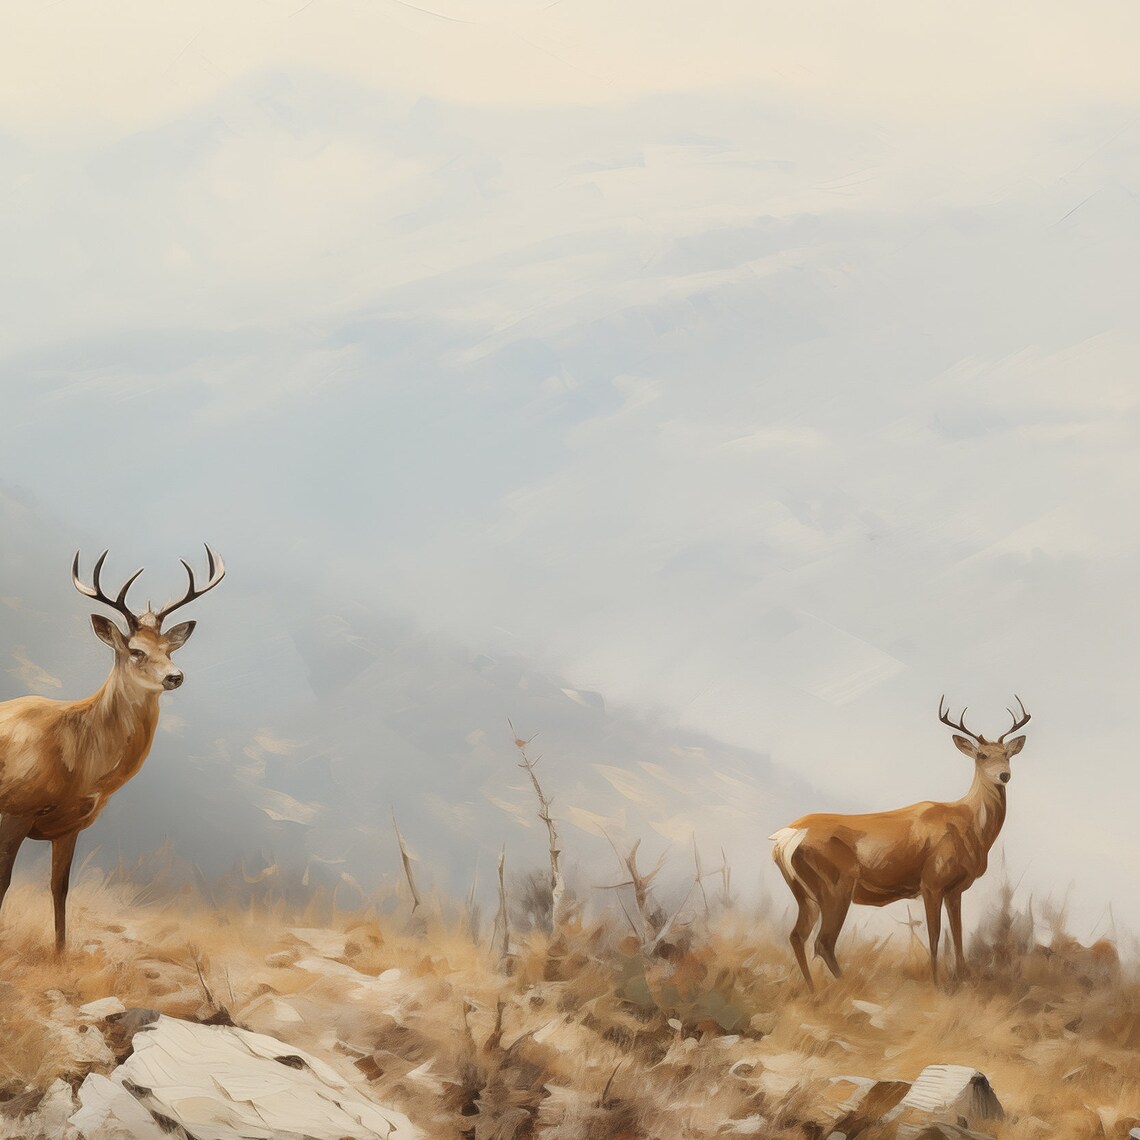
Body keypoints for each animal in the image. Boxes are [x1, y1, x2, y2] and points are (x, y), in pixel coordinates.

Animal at [0, 546, 224, 952]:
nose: (175, 676)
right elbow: (3, 882)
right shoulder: (15, 807)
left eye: (169, 649)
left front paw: (60, 955)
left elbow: (59, 888)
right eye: (135, 650)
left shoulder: (70, 826)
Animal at [770, 696, 1031, 989]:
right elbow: (935, 936)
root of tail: (787, 836)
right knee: (823, 942)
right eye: (982, 755)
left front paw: (962, 980)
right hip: (835, 885)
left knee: (796, 936)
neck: (970, 826)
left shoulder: (955, 889)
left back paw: (814, 989)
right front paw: (937, 984)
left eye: (1006, 754)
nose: (1004, 776)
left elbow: (958, 935)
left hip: (805, 893)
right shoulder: (931, 881)